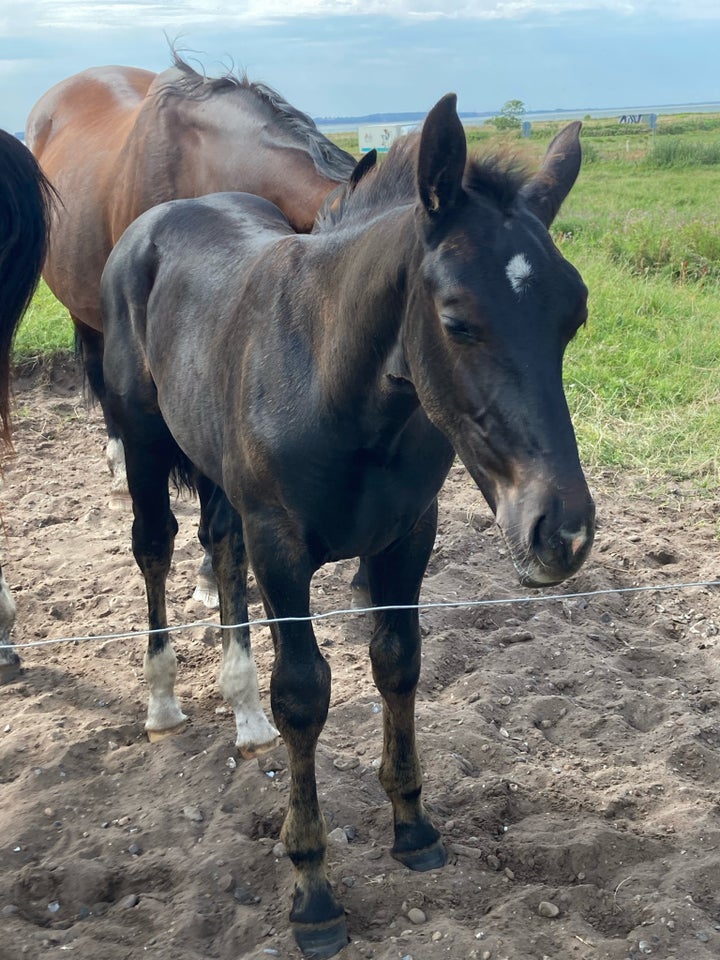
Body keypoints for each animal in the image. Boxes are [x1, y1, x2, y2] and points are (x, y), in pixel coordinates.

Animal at [100, 95, 596, 952]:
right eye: (458, 321)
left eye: (574, 315)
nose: (559, 531)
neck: (335, 384)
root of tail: (155, 221)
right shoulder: (282, 547)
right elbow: (304, 692)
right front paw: (313, 891)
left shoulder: (408, 537)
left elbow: (398, 662)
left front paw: (414, 826)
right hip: (142, 441)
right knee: (156, 549)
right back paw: (163, 703)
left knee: (218, 549)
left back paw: (243, 715)